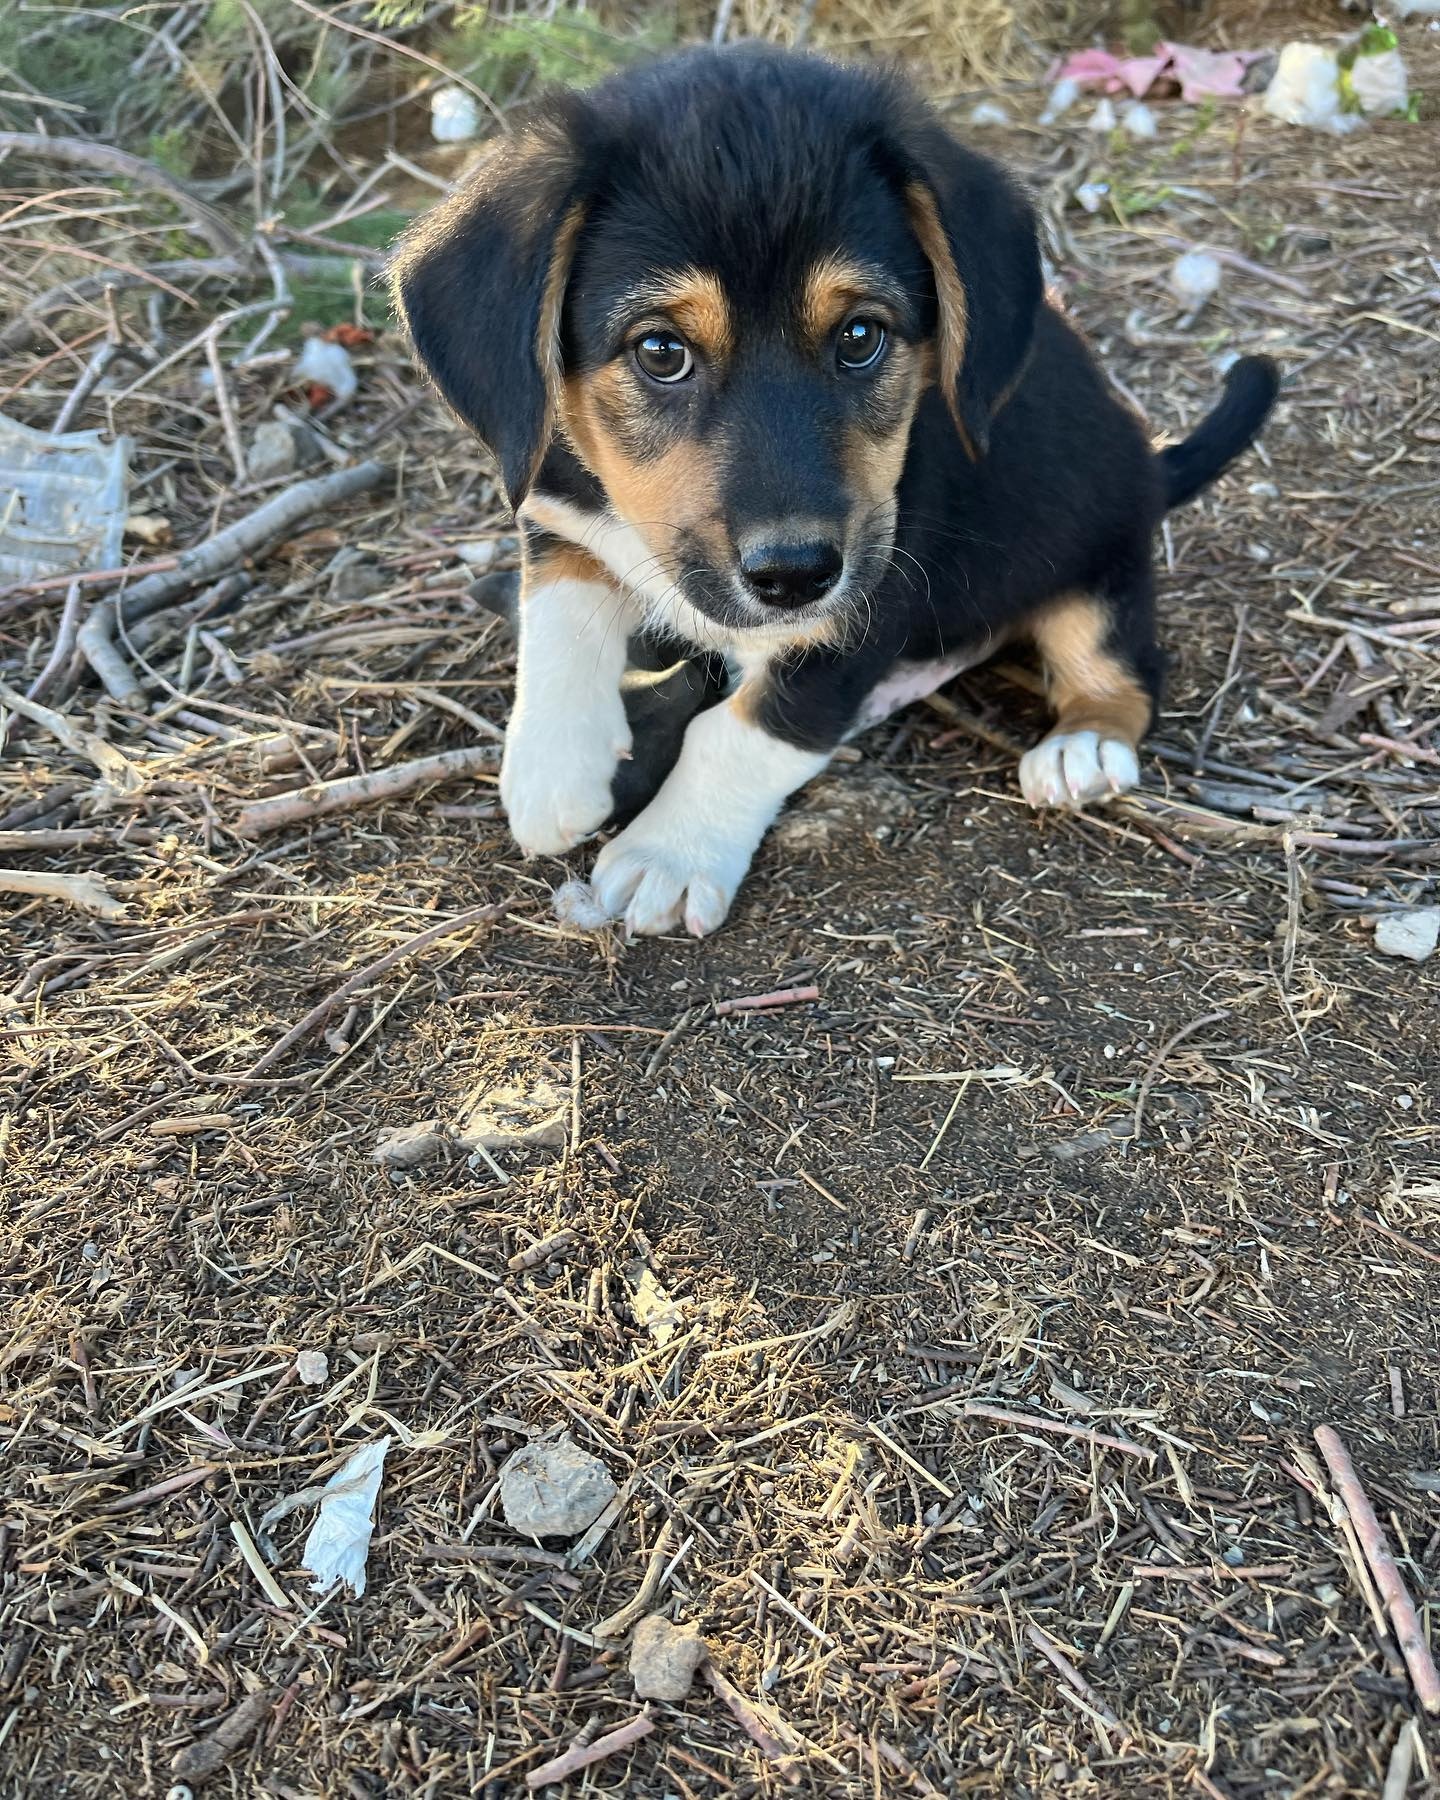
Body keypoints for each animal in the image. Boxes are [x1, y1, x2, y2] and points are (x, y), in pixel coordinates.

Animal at [393, 45, 1278, 936]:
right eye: (660, 351)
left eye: (860, 336)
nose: (794, 577)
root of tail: (1151, 463)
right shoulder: (556, 504)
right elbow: (559, 610)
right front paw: (552, 771)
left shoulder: (863, 607)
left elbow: (749, 731)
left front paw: (668, 855)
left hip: (1096, 562)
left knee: (1122, 666)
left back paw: (1082, 747)